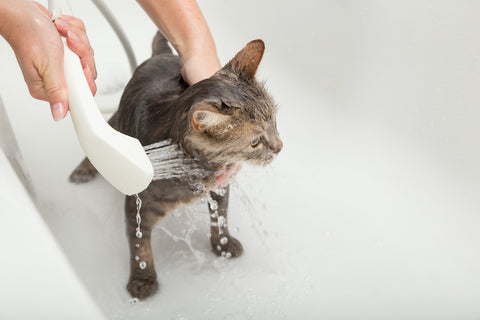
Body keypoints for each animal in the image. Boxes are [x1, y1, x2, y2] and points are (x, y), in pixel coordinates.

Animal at [69, 33, 284, 300]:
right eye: (255, 142)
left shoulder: (220, 187)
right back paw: (83, 170)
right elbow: (140, 245)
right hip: (118, 122)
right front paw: (143, 279)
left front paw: (223, 245)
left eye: (274, 121)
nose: (280, 146)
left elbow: (220, 218)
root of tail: (161, 54)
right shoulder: (139, 203)